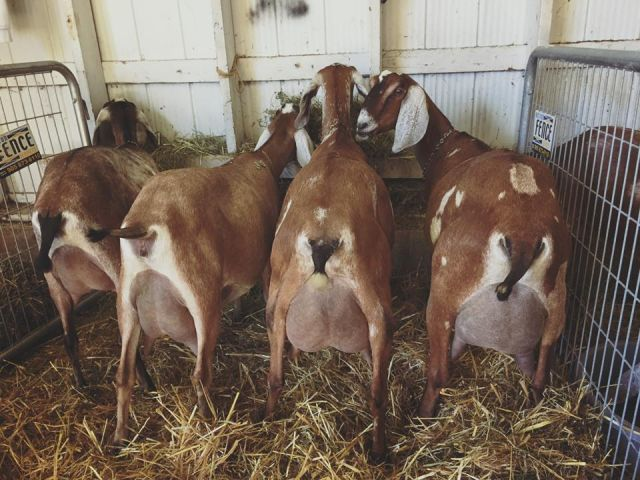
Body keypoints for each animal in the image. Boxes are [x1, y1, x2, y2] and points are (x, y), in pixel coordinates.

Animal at [32, 144, 158, 387]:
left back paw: (82, 384)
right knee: (127, 333)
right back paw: (147, 383)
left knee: (69, 338)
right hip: (114, 261)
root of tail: (53, 208)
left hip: (56, 284)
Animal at [89, 105, 313, 445]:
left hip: (126, 299)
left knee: (123, 375)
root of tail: (145, 225)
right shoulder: (262, 262)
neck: (262, 159)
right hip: (200, 295)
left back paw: (119, 436)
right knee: (199, 374)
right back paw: (211, 421)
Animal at [255, 64, 395, 463]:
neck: (337, 143)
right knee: (377, 393)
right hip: (377, 305)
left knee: (275, 378)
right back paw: (379, 450)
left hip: (276, 303)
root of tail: (322, 240)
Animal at [357, 71, 571, 417]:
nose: (361, 125)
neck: (448, 149)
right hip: (556, 296)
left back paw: (422, 414)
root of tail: (523, 237)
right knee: (541, 371)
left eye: (397, 91)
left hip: (447, 285)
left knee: (439, 371)